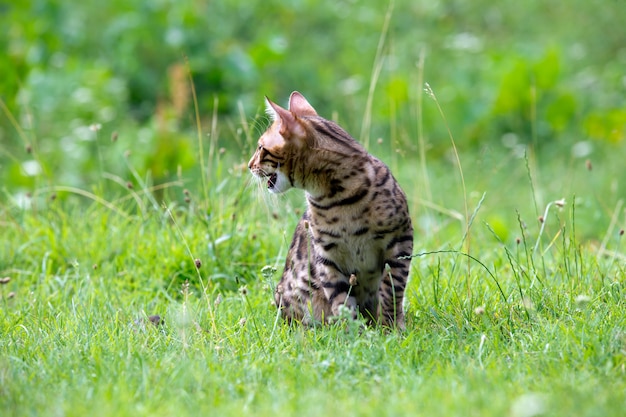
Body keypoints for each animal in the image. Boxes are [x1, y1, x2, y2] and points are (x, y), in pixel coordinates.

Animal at [246, 91, 412, 328]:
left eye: (260, 148)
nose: (249, 165)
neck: (339, 198)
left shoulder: (400, 238)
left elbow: (392, 290)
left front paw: (391, 329)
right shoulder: (327, 256)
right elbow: (341, 302)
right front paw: (355, 334)